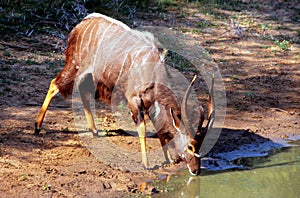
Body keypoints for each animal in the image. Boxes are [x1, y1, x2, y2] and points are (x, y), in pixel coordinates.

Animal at [34, 13, 214, 176]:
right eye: (190, 146)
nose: (196, 170)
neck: (153, 71)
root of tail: (80, 25)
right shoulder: (134, 100)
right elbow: (142, 128)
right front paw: (146, 165)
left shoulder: (150, 104)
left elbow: (159, 127)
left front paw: (168, 158)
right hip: (74, 66)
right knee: (54, 84)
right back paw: (37, 127)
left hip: (90, 78)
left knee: (83, 94)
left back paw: (94, 130)